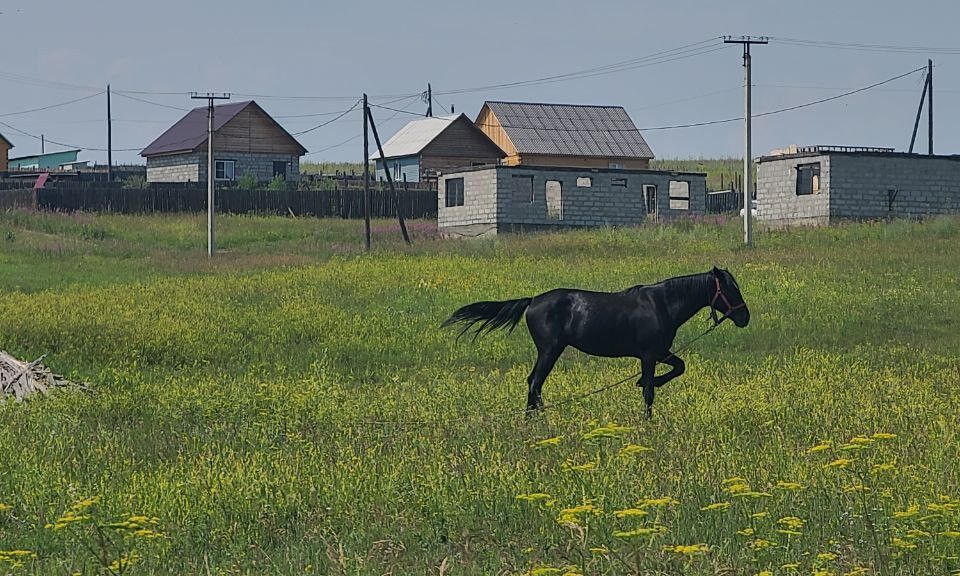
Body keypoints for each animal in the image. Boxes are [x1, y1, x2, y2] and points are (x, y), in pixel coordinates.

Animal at [440, 268, 752, 416]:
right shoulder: (650, 354)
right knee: (535, 383)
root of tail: (532, 301)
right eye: (730, 289)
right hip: (550, 350)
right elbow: (649, 391)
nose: (745, 317)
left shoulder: (660, 352)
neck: (662, 303)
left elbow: (680, 367)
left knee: (533, 384)